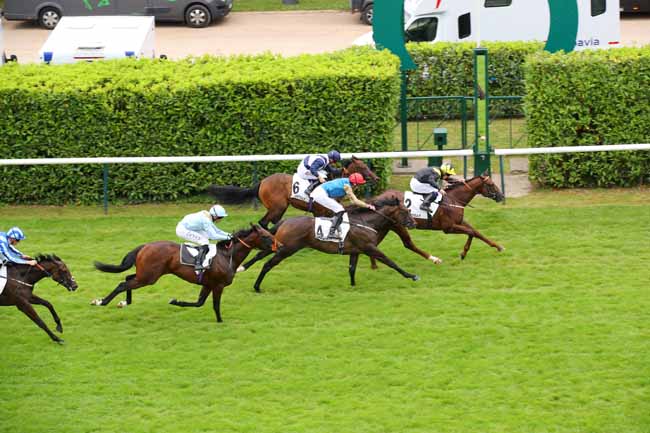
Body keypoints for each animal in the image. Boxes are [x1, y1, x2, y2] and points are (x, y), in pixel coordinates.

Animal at [90, 224, 276, 322]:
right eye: (266, 236)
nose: (278, 245)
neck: (226, 256)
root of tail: (145, 246)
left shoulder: (208, 284)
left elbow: (199, 303)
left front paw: (175, 301)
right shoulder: (218, 285)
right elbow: (215, 304)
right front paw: (220, 321)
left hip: (145, 275)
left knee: (128, 278)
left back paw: (125, 302)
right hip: (148, 277)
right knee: (123, 284)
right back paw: (101, 301)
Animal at [208, 156, 380, 230]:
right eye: (363, 167)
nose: (376, 178)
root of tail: (262, 182)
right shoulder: (320, 210)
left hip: (280, 207)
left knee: (273, 221)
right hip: (278, 206)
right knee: (264, 222)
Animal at [235, 197, 418, 292]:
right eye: (405, 211)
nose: (414, 223)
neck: (366, 222)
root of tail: (285, 221)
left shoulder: (356, 251)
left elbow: (352, 268)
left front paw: (353, 285)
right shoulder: (369, 248)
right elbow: (390, 262)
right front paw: (411, 275)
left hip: (280, 245)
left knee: (260, 254)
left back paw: (242, 268)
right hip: (287, 249)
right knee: (267, 264)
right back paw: (257, 286)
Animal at [370, 173, 502, 264]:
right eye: (491, 184)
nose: (501, 196)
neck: (453, 200)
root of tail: (378, 198)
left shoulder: (459, 221)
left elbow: (476, 232)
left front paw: (497, 246)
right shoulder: (448, 228)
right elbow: (471, 232)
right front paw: (463, 254)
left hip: (386, 226)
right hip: (398, 225)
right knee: (408, 244)